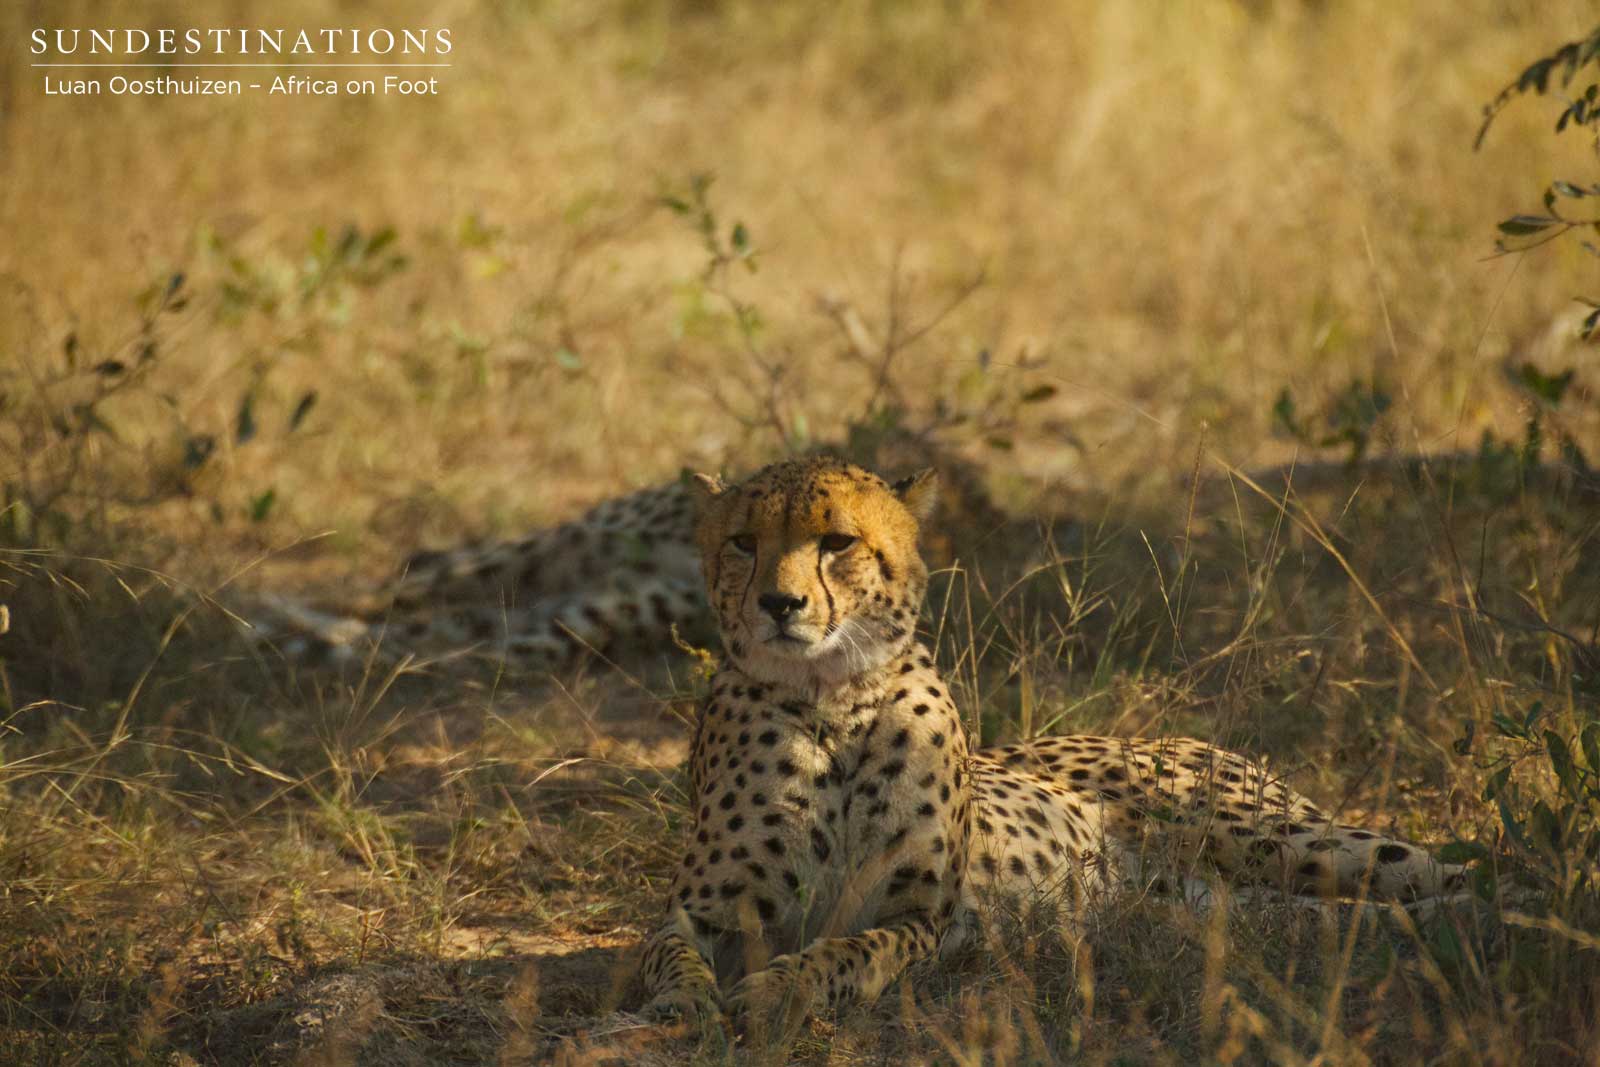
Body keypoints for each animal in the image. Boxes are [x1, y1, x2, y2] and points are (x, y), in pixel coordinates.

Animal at [636, 456, 1470, 1033]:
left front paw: (781, 987)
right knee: (1336, 918)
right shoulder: (700, 908)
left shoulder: (924, 916)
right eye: (742, 541)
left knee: (1450, 871)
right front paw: (685, 1002)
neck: (833, 700)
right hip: (1227, 906)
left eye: (838, 540)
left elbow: (847, 952)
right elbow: (666, 953)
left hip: (1275, 836)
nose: (780, 603)